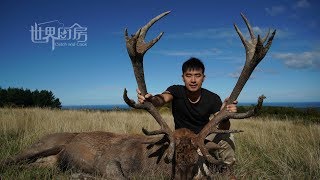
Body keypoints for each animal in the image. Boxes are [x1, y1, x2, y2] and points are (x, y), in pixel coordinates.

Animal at [0, 11, 276, 180]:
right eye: (172, 160)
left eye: (195, 163)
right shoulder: (111, 162)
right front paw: (80, 174)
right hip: (42, 144)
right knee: (10, 159)